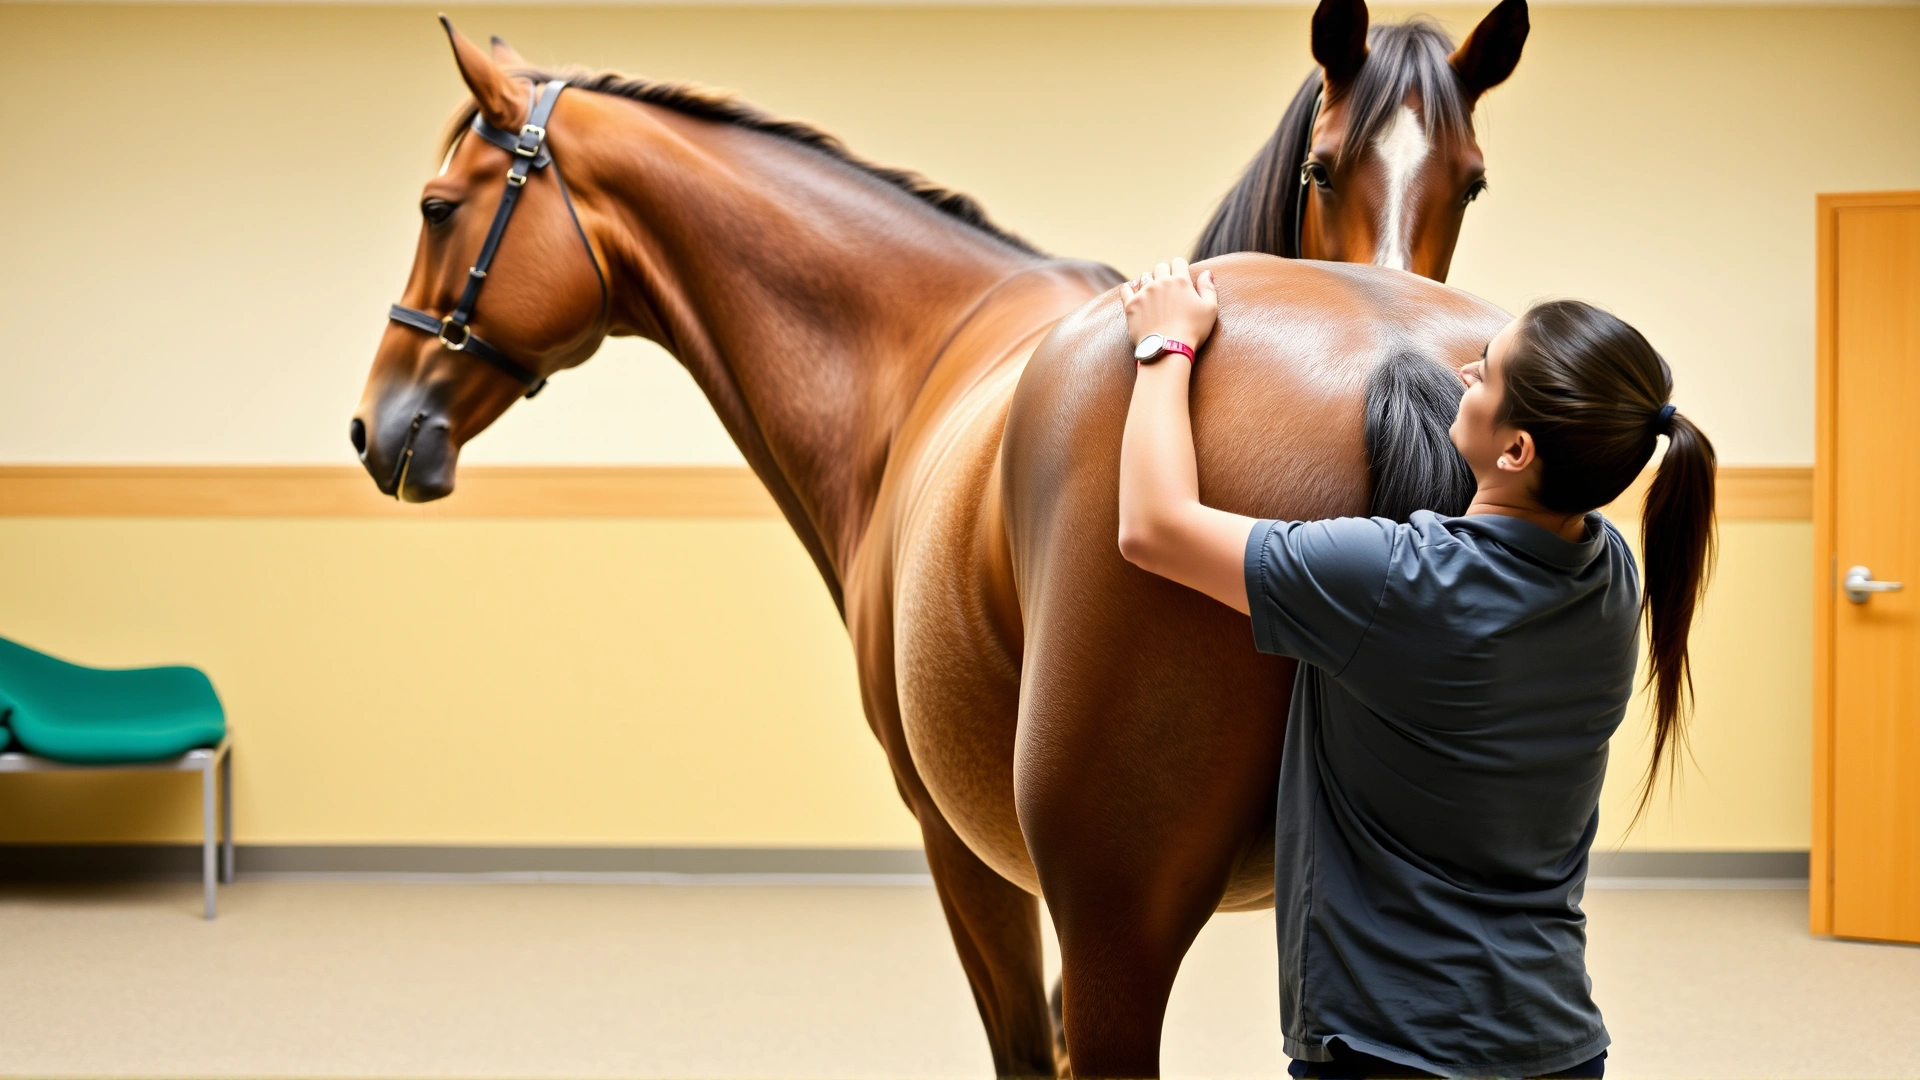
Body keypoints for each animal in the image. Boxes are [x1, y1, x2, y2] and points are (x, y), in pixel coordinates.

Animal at [351, 7, 1524, 1074]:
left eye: (437, 208)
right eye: (1323, 172)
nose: (378, 424)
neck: (916, 355)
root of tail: (1390, 350)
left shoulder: (965, 852)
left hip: (1119, 921)